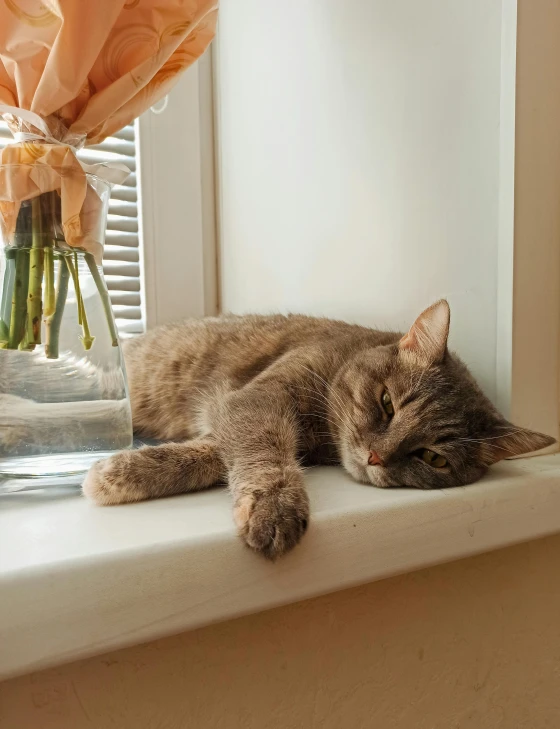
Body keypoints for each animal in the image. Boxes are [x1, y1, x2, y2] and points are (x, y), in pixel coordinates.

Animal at [83, 300, 556, 556]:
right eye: (387, 403)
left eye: (433, 457)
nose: (376, 456)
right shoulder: (256, 403)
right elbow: (261, 451)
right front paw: (275, 505)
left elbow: (211, 456)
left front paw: (121, 472)